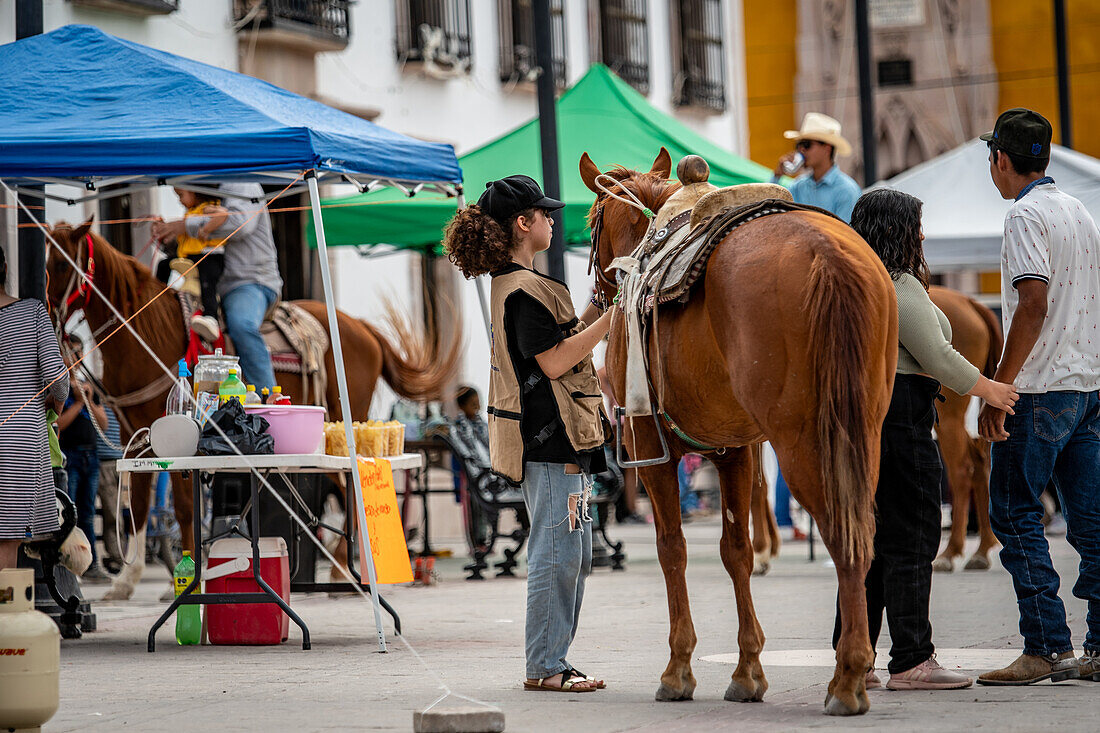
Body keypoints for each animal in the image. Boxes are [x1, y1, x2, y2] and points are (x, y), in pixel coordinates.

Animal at [46, 220, 459, 598]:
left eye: (64, 262)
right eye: (46, 261)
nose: (49, 312)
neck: (148, 333)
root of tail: (363, 328)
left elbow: (184, 508)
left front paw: (185, 578)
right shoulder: (137, 435)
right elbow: (140, 504)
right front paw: (126, 582)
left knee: (348, 487)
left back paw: (343, 570)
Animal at [580, 148, 897, 713]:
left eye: (592, 224)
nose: (595, 294)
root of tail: (826, 255)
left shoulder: (650, 447)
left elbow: (672, 548)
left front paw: (678, 669)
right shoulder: (735, 449)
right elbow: (737, 551)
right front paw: (748, 670)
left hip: (803, 442)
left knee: (842, 535)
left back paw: (847, 678)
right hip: (862, 433)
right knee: (861, 533)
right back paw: (852, 671)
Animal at [928, 286, 1007, 572]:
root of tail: (968, 301)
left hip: (949, 414)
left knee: (962, 470)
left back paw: (950, 552)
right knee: (980, 463)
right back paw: (982, 548)